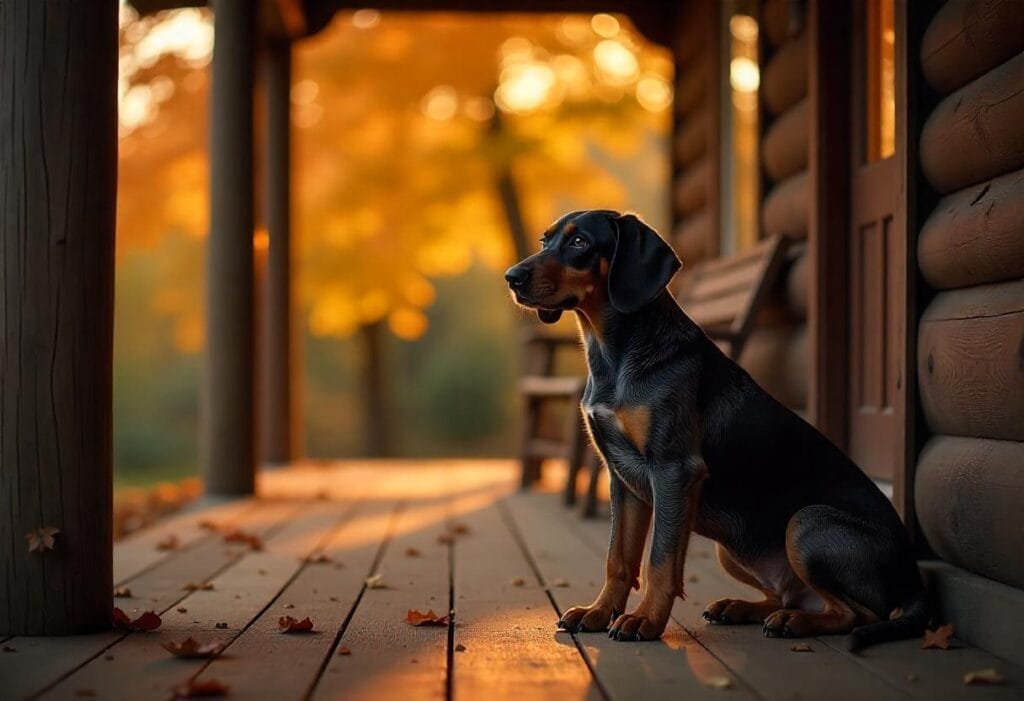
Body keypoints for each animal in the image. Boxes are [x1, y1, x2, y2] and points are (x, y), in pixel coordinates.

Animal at [503, 208, 929, 650]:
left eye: (580, 242)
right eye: (545, 240)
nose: (512, 277)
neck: (613, 357)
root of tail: (914, 578)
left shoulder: (674, 470)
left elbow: (659, 560)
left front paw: (644, 620)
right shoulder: (623, 479)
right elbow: (618, 558)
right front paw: (599, 612)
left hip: (807, 523)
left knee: (856, 613)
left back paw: (793, 622)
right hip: (733, 547)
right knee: (788, 593)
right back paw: (742, 608)